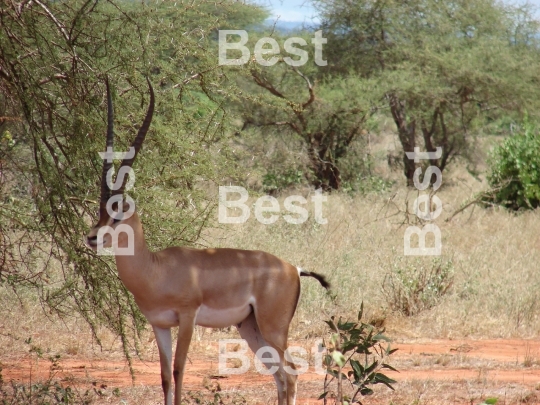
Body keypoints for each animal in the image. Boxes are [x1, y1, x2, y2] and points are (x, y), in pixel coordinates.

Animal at [85, 76, 330, 404]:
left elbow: (179, 370)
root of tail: (294, 268)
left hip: (273, 329)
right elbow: (165, 376)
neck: (156, 269)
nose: (92, 237)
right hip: (251, 329)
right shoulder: (159, 325)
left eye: (118, 213)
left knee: (290, 374)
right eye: (99, 212)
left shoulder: (188, 318)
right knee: (279, 377)